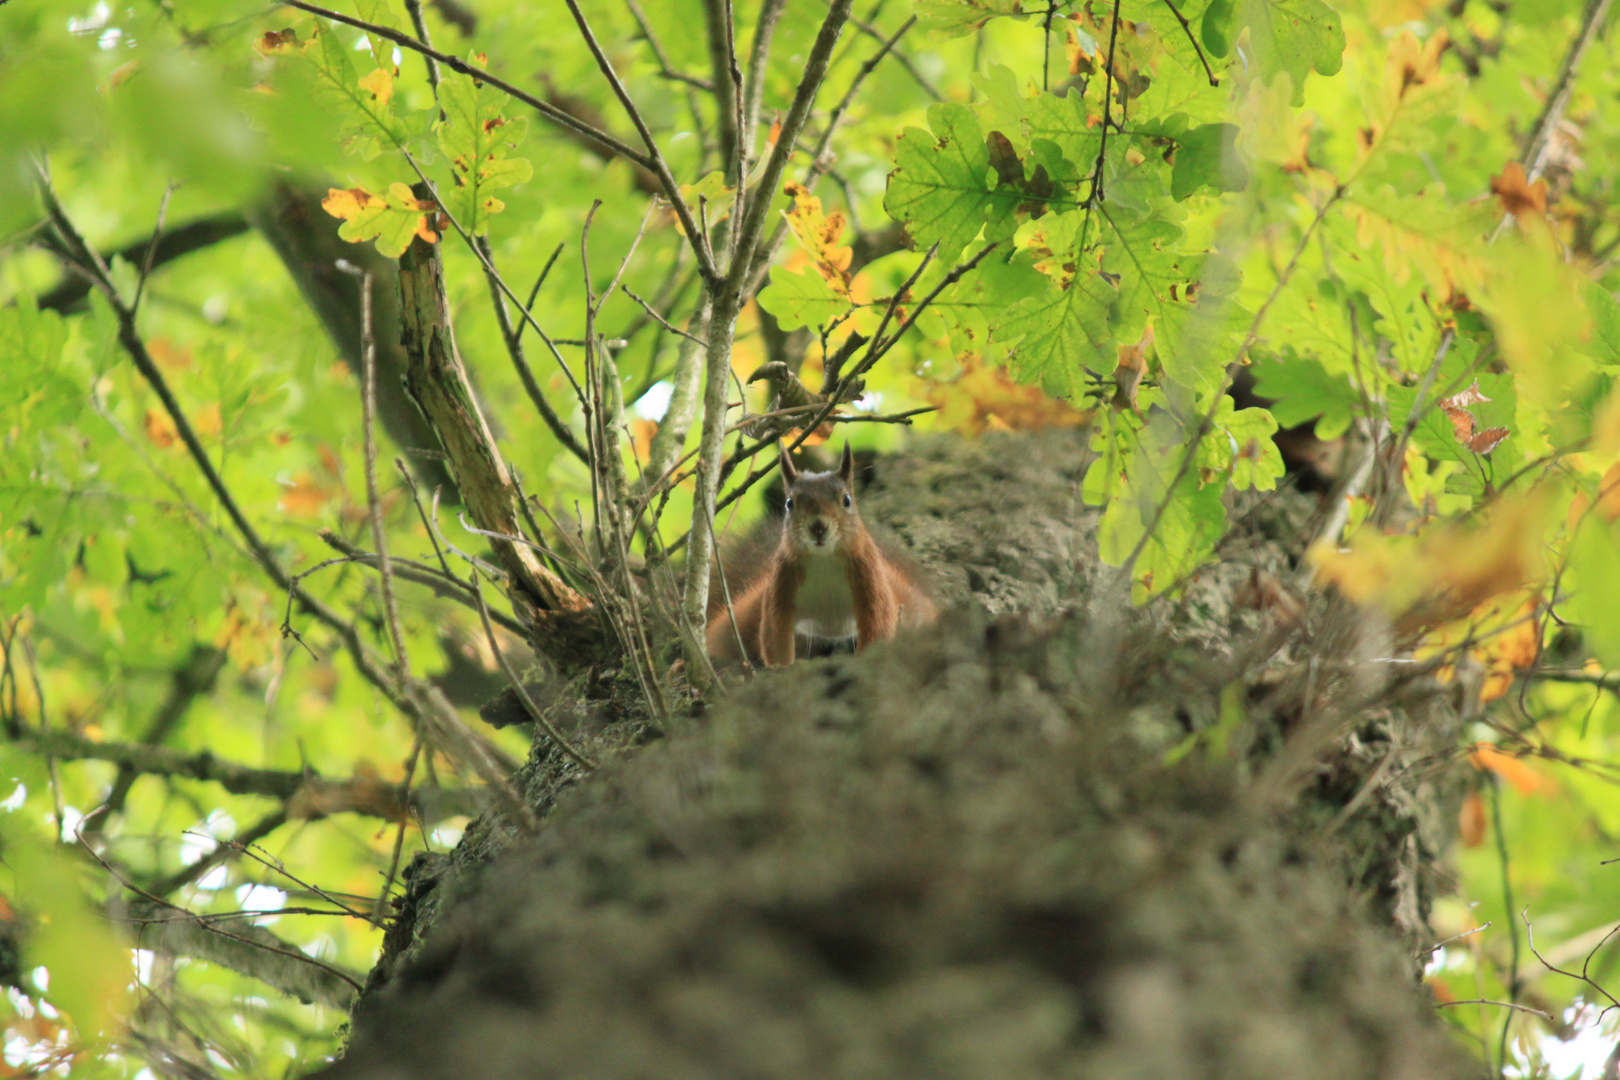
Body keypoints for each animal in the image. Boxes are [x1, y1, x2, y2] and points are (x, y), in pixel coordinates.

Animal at [706, 440, 939, 667]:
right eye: (789, 503)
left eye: (847, 500)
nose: (818, 527)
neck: (823, 559)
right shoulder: (781, 585)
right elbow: (775, 633)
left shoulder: (871, 580)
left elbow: (878, 623)